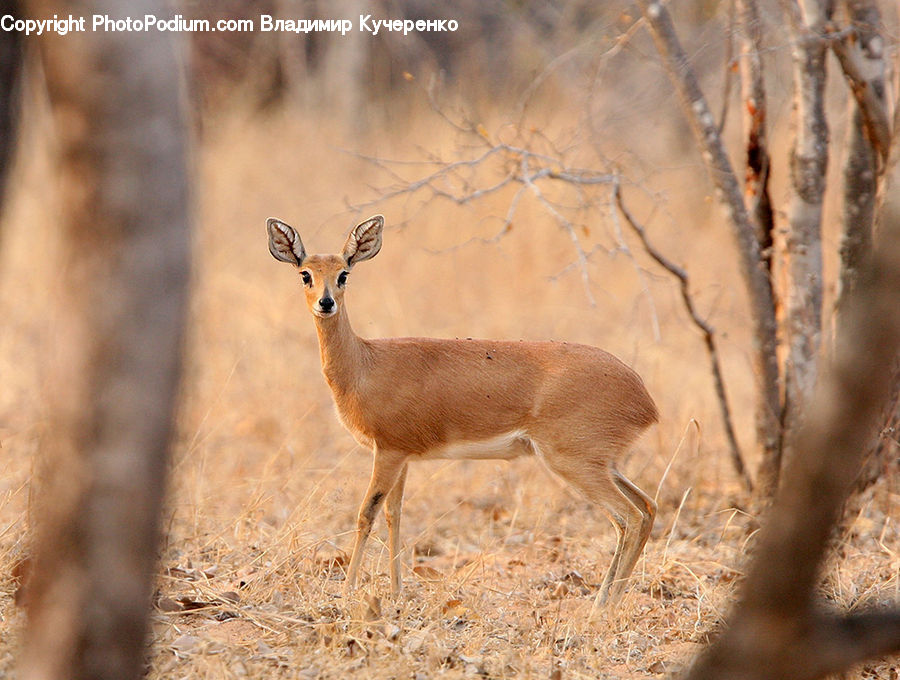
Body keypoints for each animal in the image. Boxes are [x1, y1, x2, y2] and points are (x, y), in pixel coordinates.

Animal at [267, 214, 659, 604]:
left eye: (344, 273)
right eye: (306, 273)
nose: (326, 303)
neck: (364, 362)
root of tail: (644, 397)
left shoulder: (388, 451)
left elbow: (367, 514)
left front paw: (348, 592)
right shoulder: (400, 455)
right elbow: (395, 514)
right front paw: (395, 592)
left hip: (574, 463)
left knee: (628, 516)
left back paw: (602, 606)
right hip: (604, 464)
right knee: (648, 507)